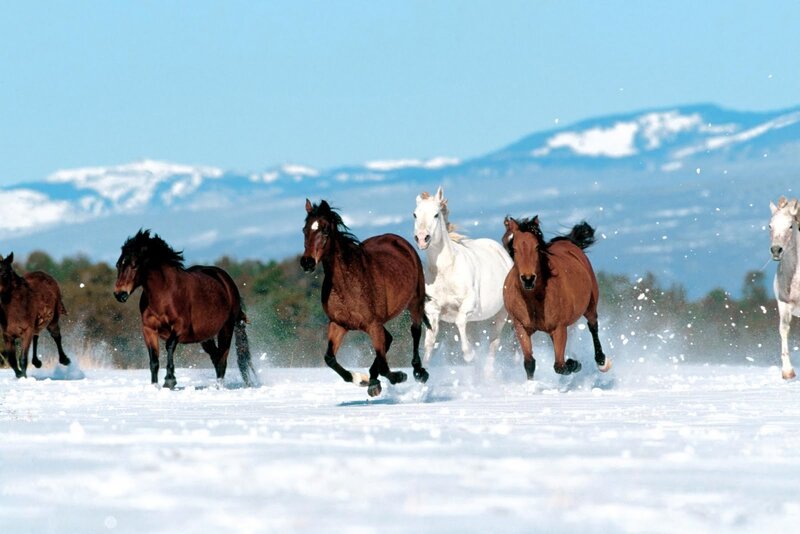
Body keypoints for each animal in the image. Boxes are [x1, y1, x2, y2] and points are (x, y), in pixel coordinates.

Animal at [113, 230, 257, 389]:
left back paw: (220, 387)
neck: (164, 294)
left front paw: (170, 380)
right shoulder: (149, 329)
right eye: (118, 265)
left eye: (134, 265)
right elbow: (154, 360)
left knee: (222, 359)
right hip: (205, 337)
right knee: (216, 357)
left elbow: (169, 345)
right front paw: (155, 386)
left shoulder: (180, 327)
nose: (119, 294)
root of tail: (227, 281)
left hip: (226, 328)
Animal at [301, 199, 430, 397]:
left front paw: (399, 376)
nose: (307, 262)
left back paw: (419, 372)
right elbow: (330, 358)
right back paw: (373, 381)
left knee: (415, 331)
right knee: (388, 340)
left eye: (325, 230)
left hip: (415, 302)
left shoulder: (372, 324)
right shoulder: (338, 324)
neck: (347, 285)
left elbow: (385, 366)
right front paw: (361, 380)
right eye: (305, 230)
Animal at [413, 187, 512, 371]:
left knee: (493, 345)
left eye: (436, 214)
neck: (446, 271)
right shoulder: (433, 310)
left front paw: (469, 355)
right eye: (415, 214)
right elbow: (430, 342)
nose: (422, 239)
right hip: (476, 321)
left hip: (500, 315)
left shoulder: (468, 304)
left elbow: (459, 321)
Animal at [501, 216, 611, 380]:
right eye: (514, 248)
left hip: (590, 305)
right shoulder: (521, 327)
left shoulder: (560, 328)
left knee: (593, 326)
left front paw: (574, 364)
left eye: (536, 247)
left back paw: (602, 362)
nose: (528, 279)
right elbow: (529, 363)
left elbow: (559, 366)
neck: (533, 299)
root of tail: (568, 242)